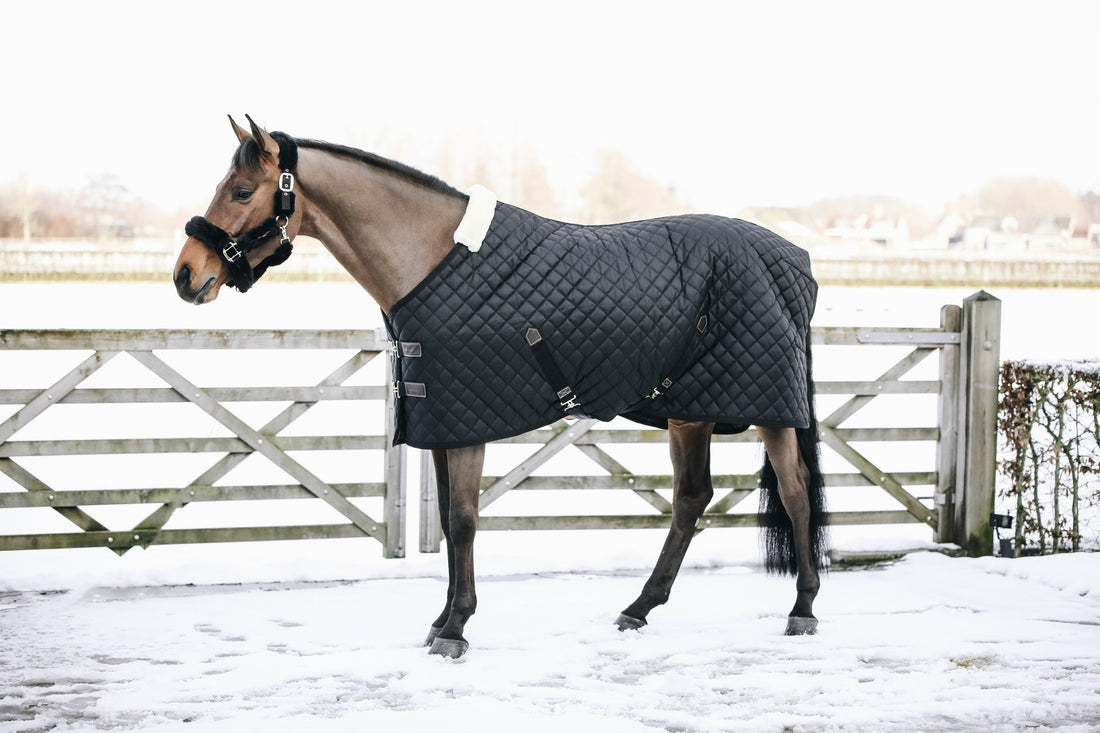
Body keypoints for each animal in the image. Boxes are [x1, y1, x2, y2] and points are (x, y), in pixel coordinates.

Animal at [173, 115, 828, 659]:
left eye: (241, 192)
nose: (186, 275)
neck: (432, 258)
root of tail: (795, 259)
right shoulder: (441, 422)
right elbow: (451, 520)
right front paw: (441, 621)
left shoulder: (467, 425)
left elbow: (464, 520)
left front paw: (456, 629)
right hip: (690, 409)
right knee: (692, 498)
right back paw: (639, 608)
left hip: (771, 409)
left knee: (795, 493)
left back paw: (802, 609)